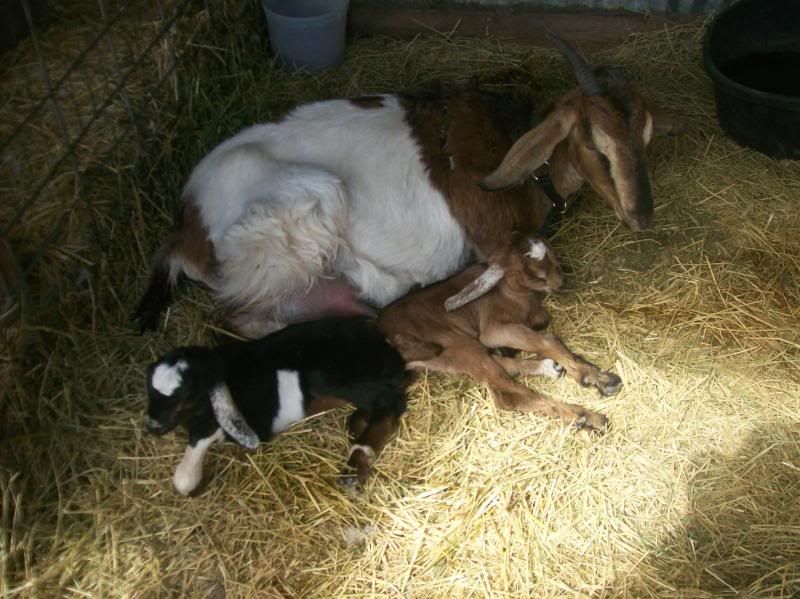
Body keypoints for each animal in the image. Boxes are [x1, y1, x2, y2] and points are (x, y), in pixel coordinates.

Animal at [134, 34, 684, 338]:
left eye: (644, 137)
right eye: (593, 140)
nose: (642, 214)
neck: (512, 141)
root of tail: (186, 224)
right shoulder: (493, 237)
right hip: (306, 201)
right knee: (234, 317)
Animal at [143, 317, 408, 495]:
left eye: (186, 396)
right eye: (149, 391)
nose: (152, 427)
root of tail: (385, 349)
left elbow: (188, 468)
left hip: (334, 376)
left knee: (391, 404)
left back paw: (356, 465)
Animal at [378, 236, 621, 433]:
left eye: (554, 259)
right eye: (537, 276)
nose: (562, 282)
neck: (511, 292)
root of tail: (384, 332)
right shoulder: (492, 329)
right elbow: (545, 340)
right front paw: (591, 376)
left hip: (445, 357)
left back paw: (548, 367)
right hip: (455, 343)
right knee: (505, 393)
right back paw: (585, 416)